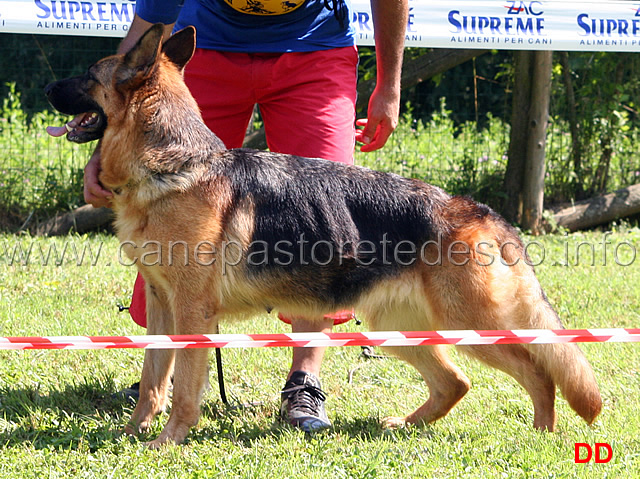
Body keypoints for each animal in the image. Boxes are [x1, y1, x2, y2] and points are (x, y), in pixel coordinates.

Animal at [45, 25, 600, 446]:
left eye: (88, 76)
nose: (47, 91)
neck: (174, 165)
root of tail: (478, 211)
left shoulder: (193, 314)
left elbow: (182, 391)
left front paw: (168, 442)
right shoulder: (163, 307)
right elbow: (151, 383)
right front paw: (133, 433)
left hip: (470, 324)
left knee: (538, 371)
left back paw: (542, 435)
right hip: (393, 326)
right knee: (456, 383)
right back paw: (405, 425)